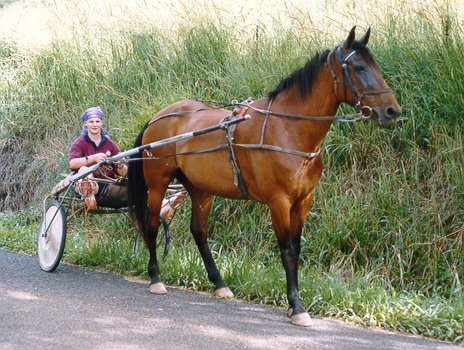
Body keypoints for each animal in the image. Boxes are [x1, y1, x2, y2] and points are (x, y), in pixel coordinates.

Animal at [128, 26, 402, 326]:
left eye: (374, 65)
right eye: (359, 67)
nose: (392, 111)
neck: (288, 129)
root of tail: (159, 116)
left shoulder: (303, 200)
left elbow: (296, 249)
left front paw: (294, 303)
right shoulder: (279, 201)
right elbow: (287, 251)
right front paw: (297, 306)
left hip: (200, 189)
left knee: (199, 232)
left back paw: (219, 283)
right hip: (158, 184)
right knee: (152, 224)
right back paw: (155, 278)